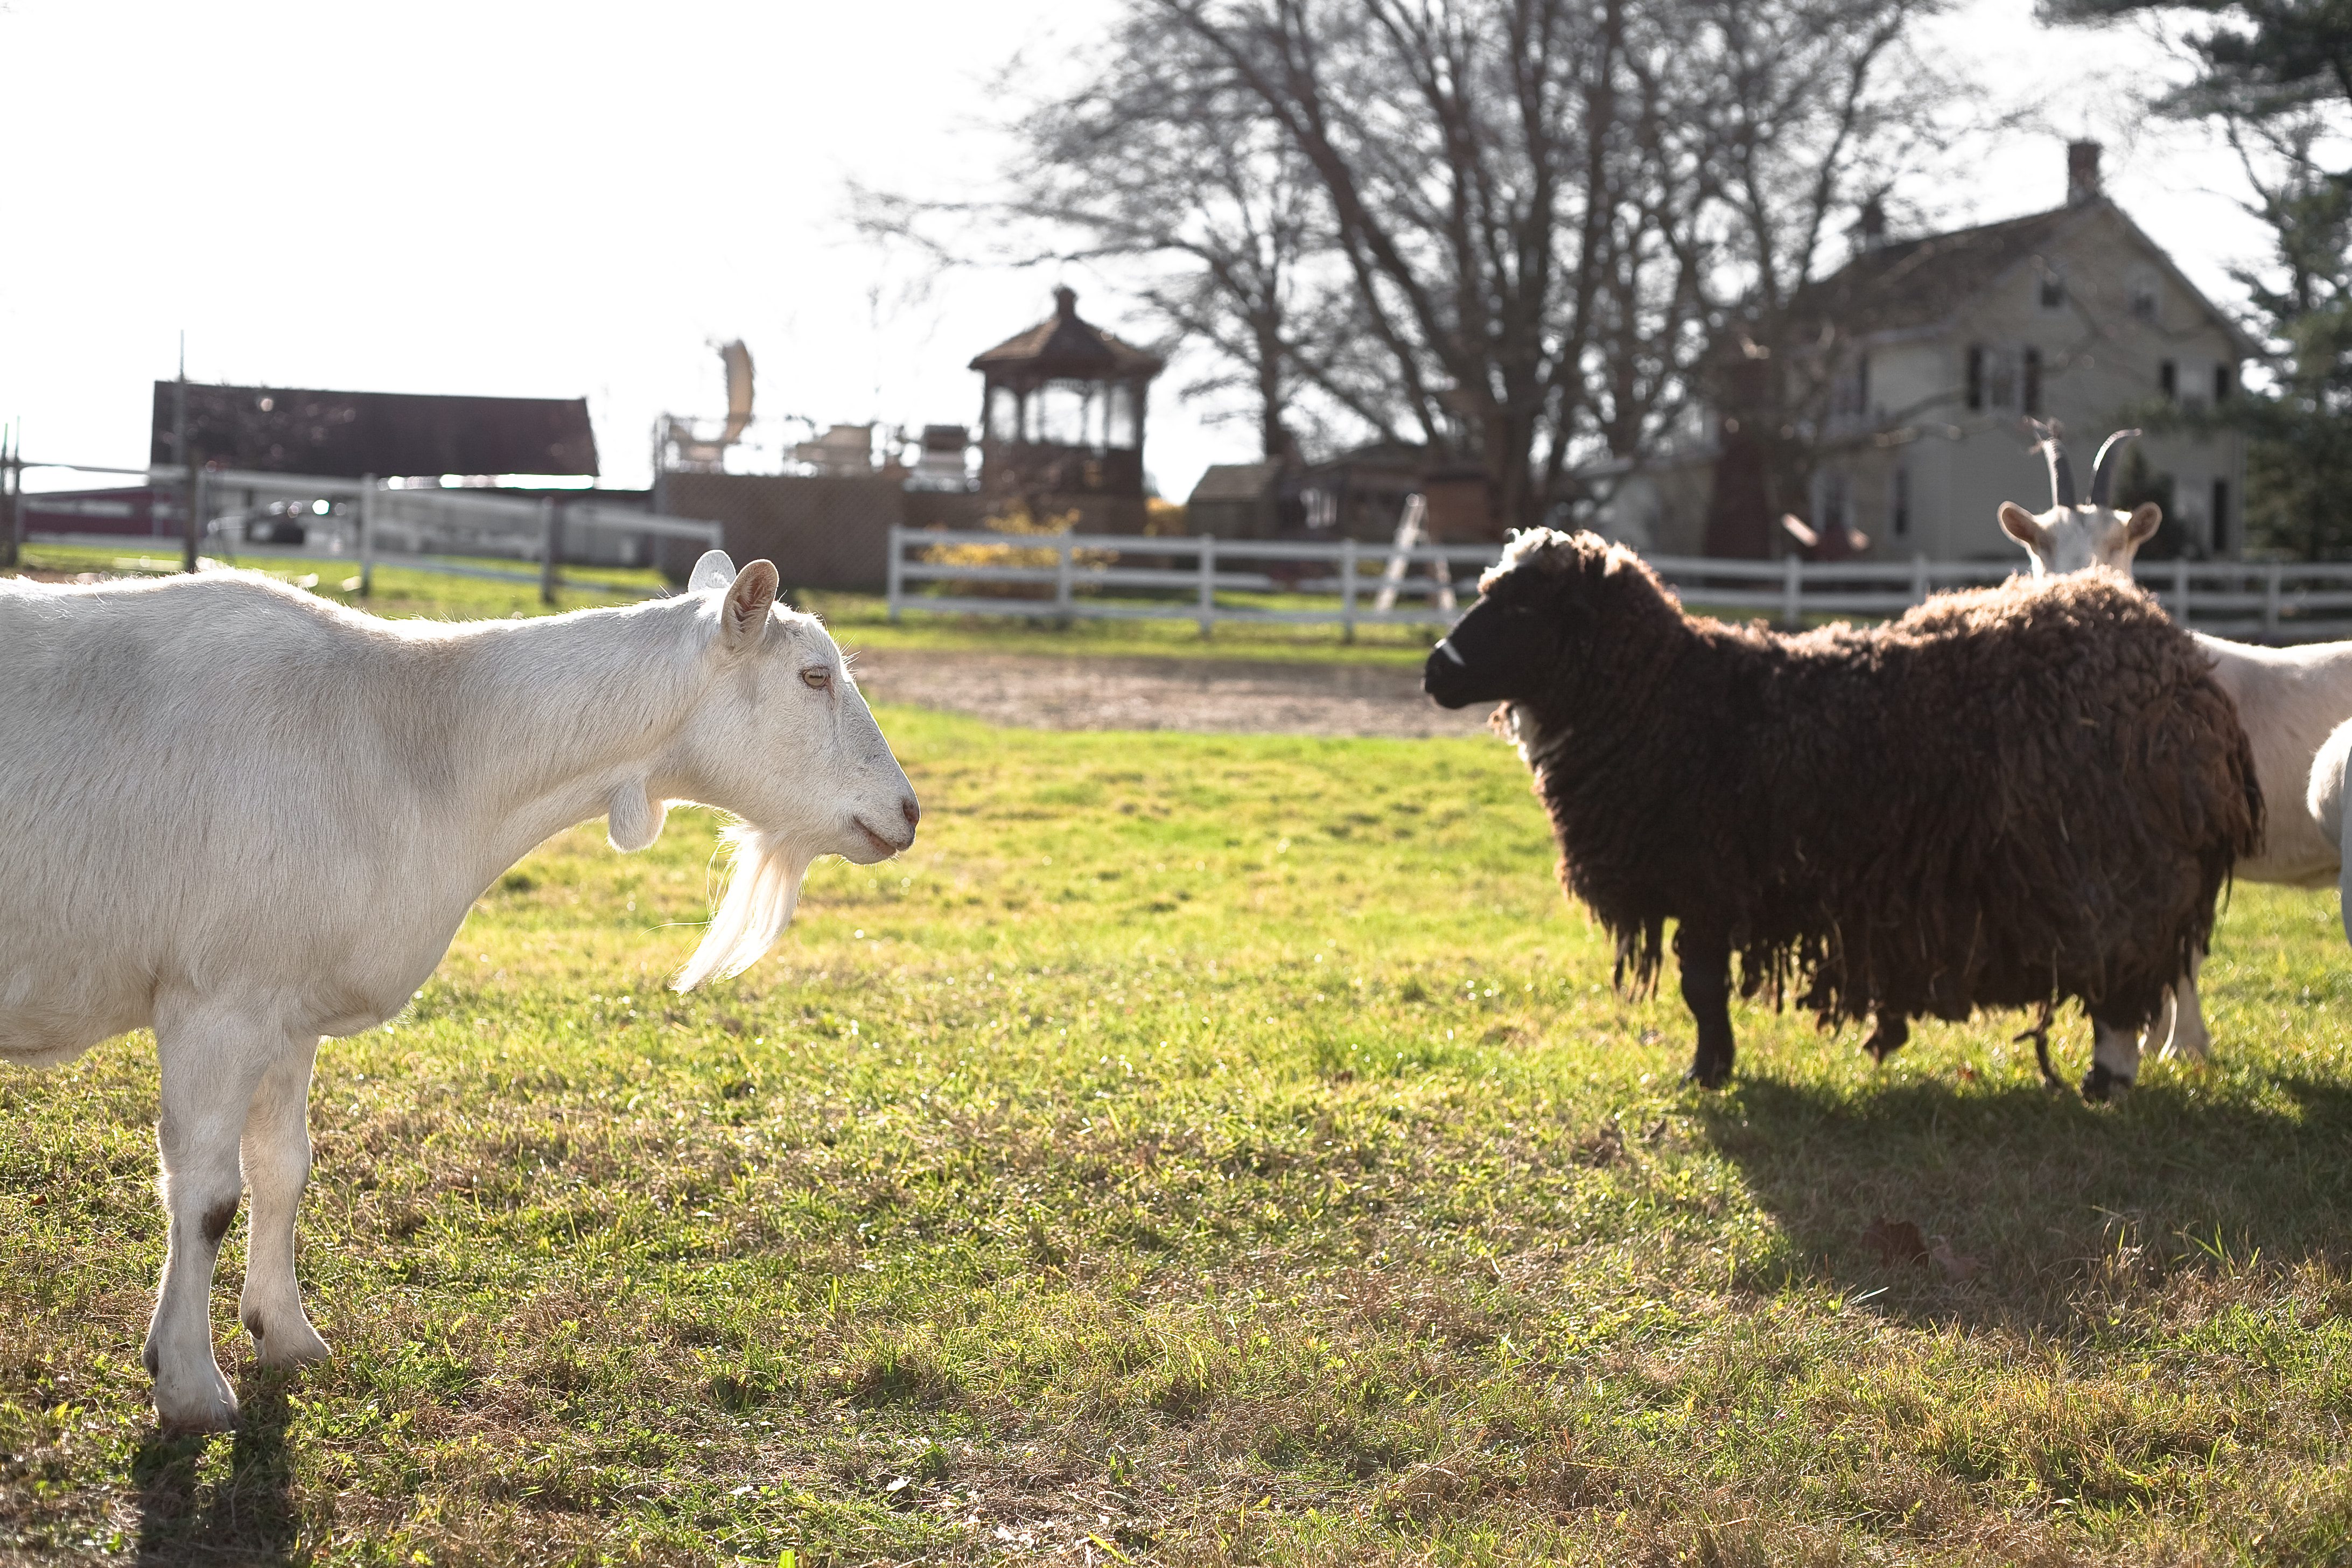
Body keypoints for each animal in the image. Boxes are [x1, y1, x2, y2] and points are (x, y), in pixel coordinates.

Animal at [0, 551, 918, 1430]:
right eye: (813, 677)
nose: (908, 812)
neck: (417, 741)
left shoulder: (286, 1007)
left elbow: (282, 1168)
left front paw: (286, 1334)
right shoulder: (216, 1000)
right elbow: (207, 1195)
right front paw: (190, 1385)